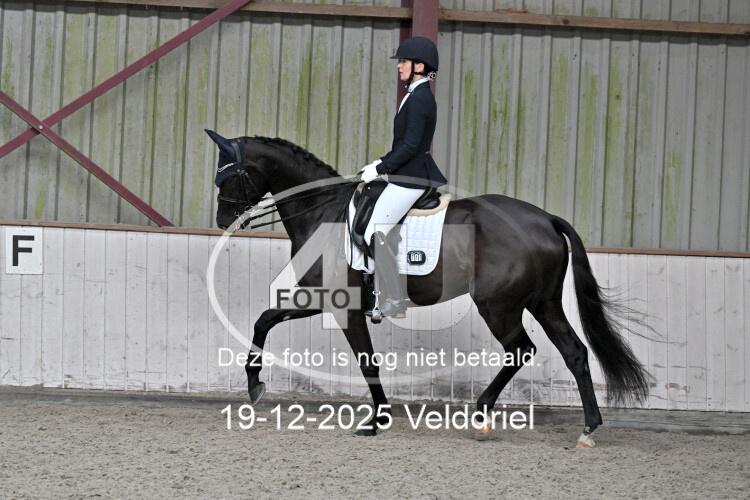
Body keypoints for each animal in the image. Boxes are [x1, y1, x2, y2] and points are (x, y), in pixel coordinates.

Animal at [207, 130, 649, 447]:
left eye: (228, 176)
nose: (222, 220)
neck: (324, 212)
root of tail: (546, 219)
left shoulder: (344, 306)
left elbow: (367, 361)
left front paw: (377, 420)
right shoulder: (320, 298)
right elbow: (265, 320)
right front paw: (254, 385)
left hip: (498, 305)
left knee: (521, 349)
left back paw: (482, 415)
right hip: (543, 303)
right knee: (574, 352)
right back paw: (588, 428)